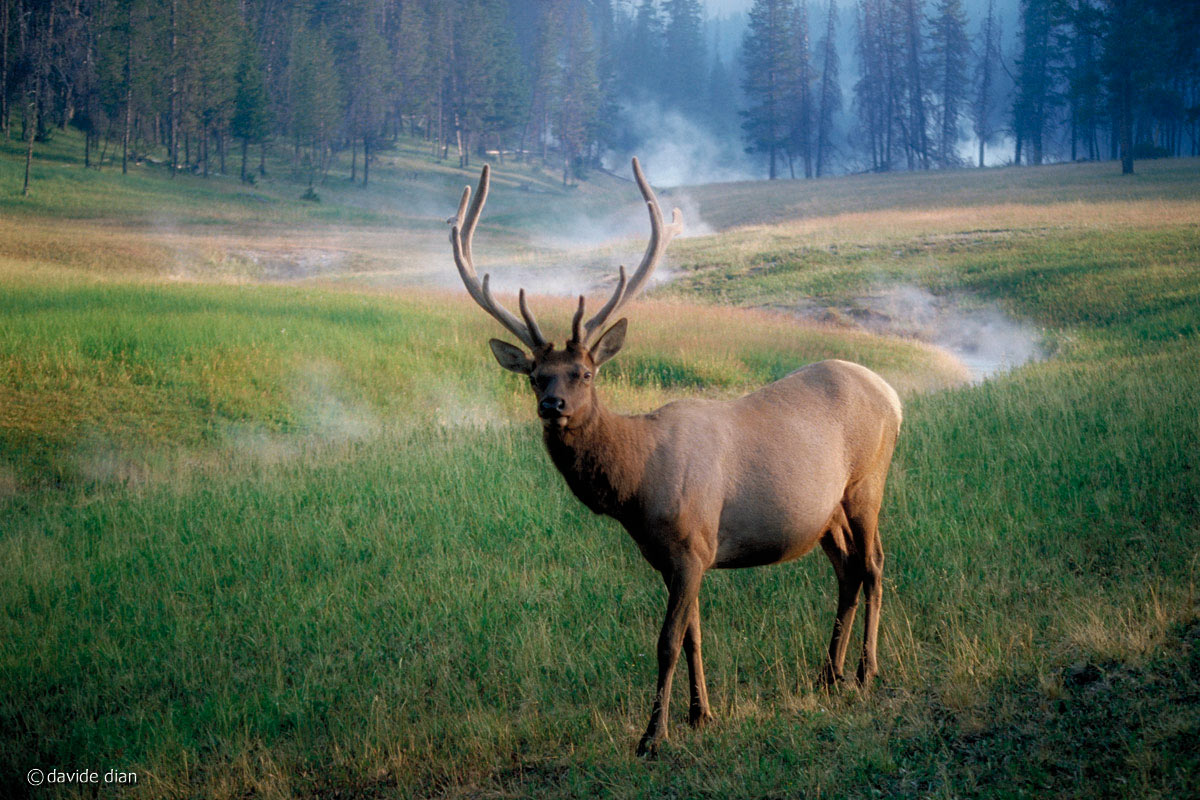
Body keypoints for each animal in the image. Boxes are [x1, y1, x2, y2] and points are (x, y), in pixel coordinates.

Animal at [448, 158, 902, 757]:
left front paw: (652, 735)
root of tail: (894, 396)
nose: (552, 405)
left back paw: (866, 672)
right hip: (824, 513)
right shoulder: (672, 556)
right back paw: (828, 675)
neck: (637, 487)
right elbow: (693, 637)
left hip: (866, 482)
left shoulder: (692, 544)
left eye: (584, 373)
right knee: (847, 569)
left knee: (873, 564)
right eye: (535, 376)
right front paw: (700, 714)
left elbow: (666, 641)